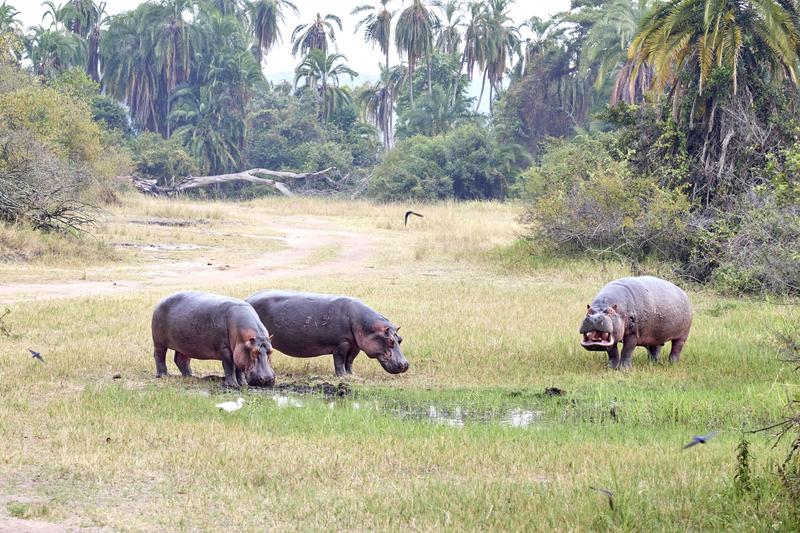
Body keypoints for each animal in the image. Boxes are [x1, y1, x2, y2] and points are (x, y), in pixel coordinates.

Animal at [245, 290, 410, 374]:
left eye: (400, 339)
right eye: (390, 340)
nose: (405, 365)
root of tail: (247, 299)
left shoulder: (355, 346)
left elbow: (350, 361)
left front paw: (351, 375)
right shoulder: (341, 344)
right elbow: (339, 361)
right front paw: (342, 376)